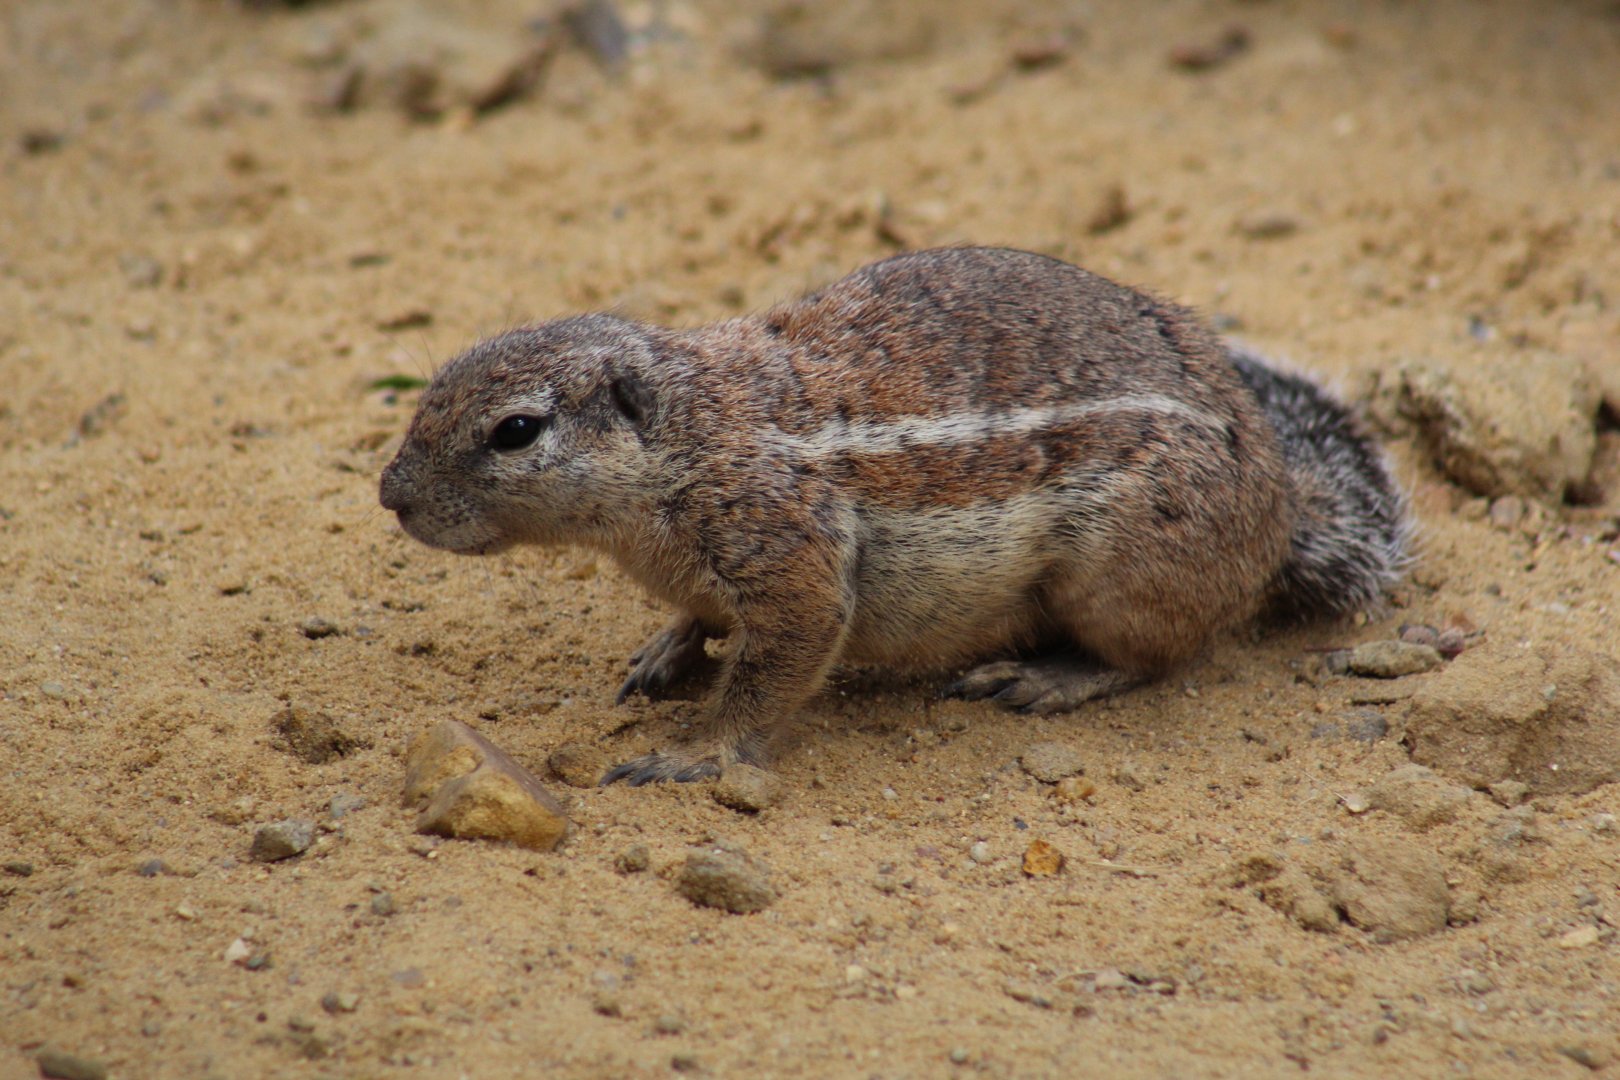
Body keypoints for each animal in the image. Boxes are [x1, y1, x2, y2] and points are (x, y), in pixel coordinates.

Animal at [379, 247, 1410, 785]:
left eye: (515, 430)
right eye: (438, 378)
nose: (389, 494)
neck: (694, 430)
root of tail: (1278, 511)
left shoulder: (789, 557)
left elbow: (769, 673)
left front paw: (687, 754)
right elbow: (700, 618)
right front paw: (665, 650)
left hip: (1117, 576)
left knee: (1159, 657)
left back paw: (1047, 676)